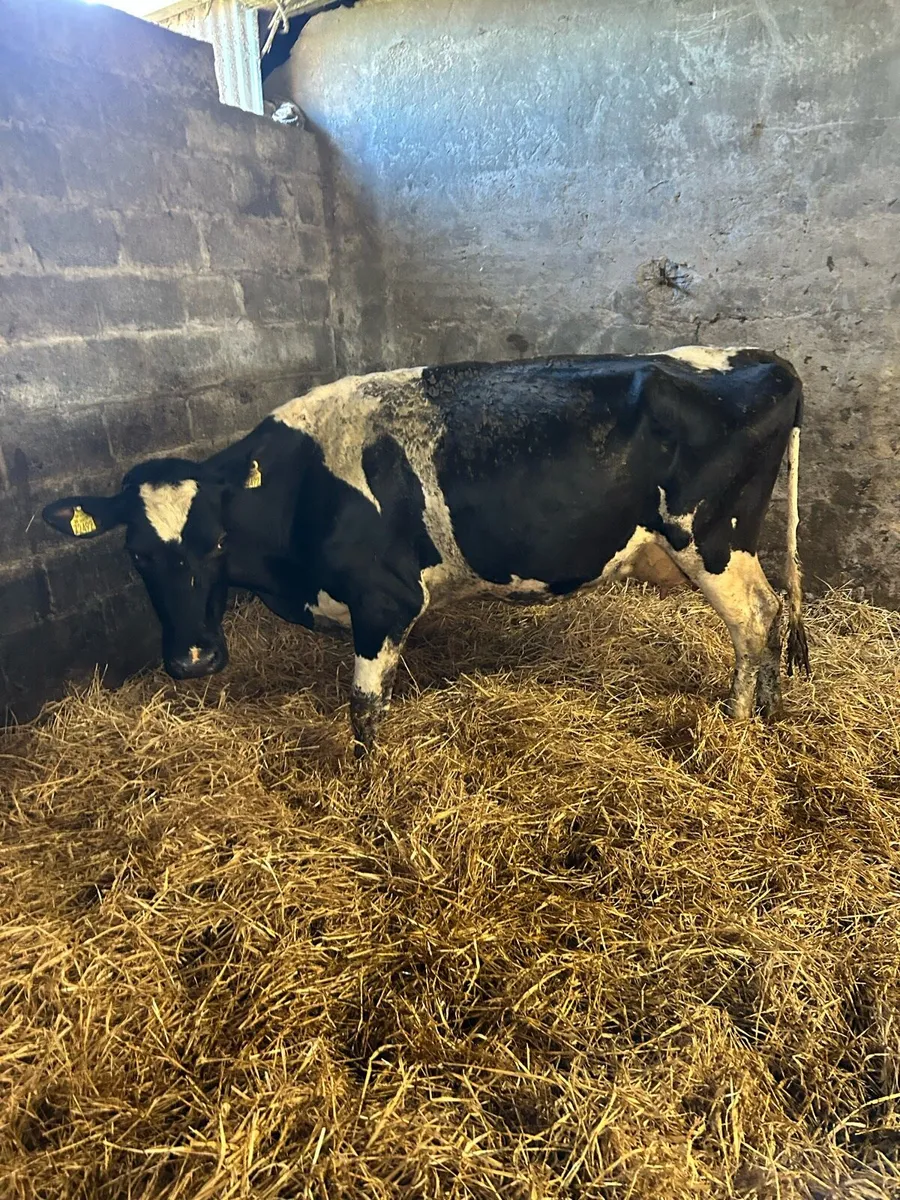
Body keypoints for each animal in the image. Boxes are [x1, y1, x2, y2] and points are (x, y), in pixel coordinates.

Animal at [42, 347, 810, 754]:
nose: (195, 659)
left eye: (216, 540)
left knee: (751, 621)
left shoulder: (385, 598)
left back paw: (740, 724)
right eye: (137, 554)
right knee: (774, 612)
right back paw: (770, 711)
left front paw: (365, 789)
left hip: (709, 538)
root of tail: (762, 358)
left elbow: (362, 706)